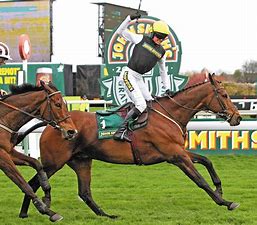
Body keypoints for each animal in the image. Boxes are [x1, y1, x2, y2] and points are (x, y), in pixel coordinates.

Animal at [0, 81, 77, 221]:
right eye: (58, 104)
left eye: (65, 104)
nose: (71, 131)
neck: (3, 119)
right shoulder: (2, 156)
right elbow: (23, 183)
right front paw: (47, 210)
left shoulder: (8, 151)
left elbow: (37, 164)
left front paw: (47, 196)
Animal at [18, 73, 240, 219]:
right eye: (224, 95)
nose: (237, 117)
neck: (169, 114)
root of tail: (52, 124)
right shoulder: (176, 156)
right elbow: (200, 180)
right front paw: (226, 202)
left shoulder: (177, 152)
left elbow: (206, 160)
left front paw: (219, 188)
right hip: (54, 163)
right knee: (33, 182)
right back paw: (30, 212)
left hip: (81, 161)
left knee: (84, 192)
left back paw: (106, 215)